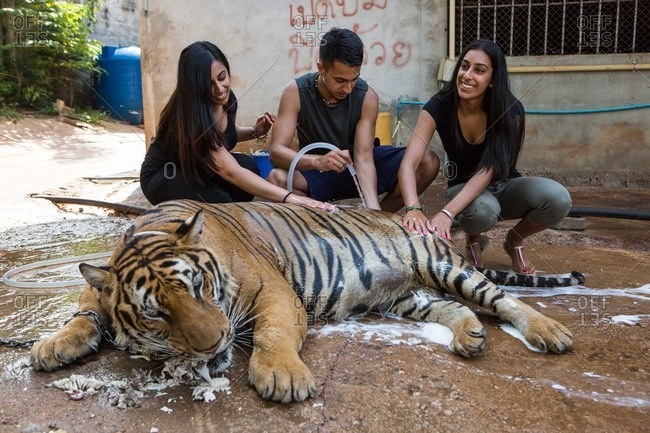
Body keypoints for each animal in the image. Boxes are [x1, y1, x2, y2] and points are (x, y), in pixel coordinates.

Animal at [31, 199, 580, 403]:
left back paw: (549, 332)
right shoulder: (101, 287)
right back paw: (468, 337)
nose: (214, 344)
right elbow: (85, 310)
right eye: (155, 315)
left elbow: (273, 332)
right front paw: (53, 344)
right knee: (454, 308)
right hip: (405, 298)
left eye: (199, 287)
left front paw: (282, 376)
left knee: (501, 299)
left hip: (441, 265)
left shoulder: (275, 292)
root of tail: (407, 217)